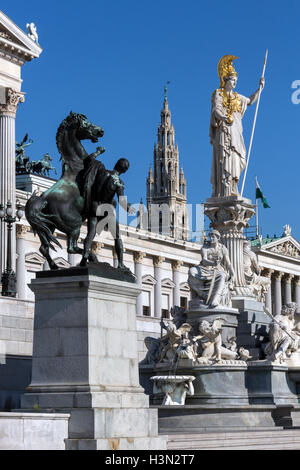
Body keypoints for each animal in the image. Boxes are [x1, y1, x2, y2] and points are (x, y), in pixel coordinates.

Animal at [25, 111, 105, 270]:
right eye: (86, 124)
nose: (100, 131)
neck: (77, 164)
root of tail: (42, 199)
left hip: (48, 227)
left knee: (44, 248)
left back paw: (55, 266)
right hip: (75, 224)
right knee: (71, 248)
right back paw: (90, 258)